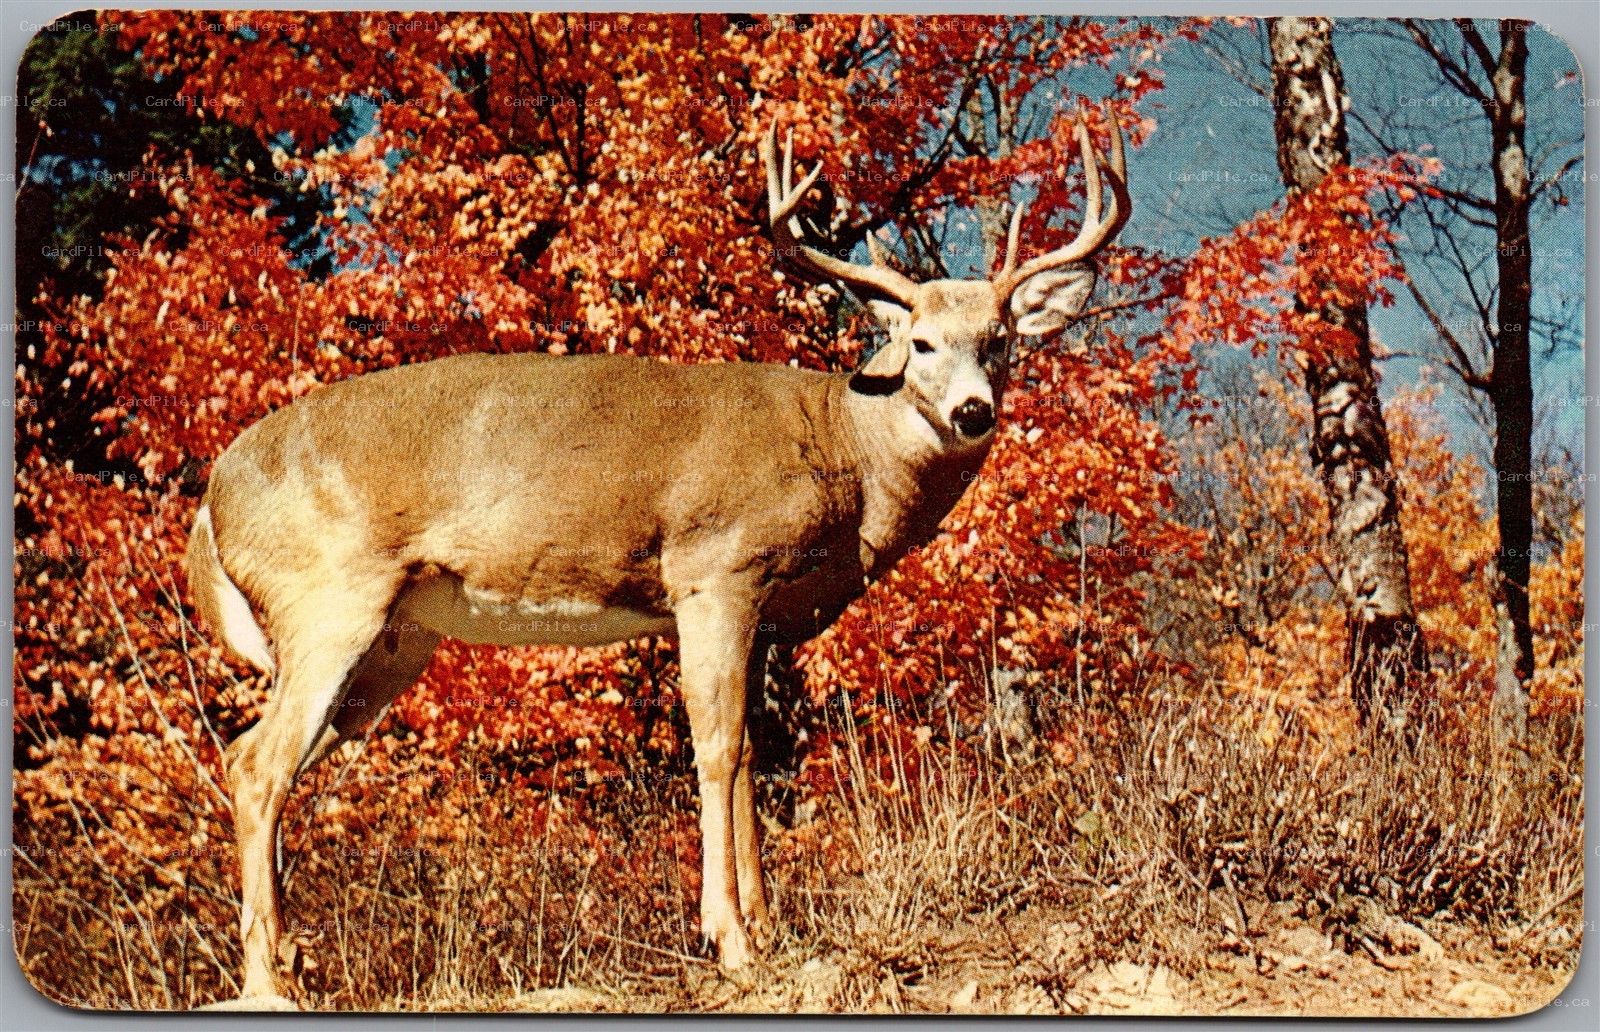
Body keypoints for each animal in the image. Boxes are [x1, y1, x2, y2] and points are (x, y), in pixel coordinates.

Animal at [186, 107, 1129, 1008]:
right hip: (328, 595)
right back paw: (266, 980)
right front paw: (730, 940)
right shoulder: (714, 570)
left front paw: (768, 929)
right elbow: (714, 746)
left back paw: (291, 962)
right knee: (256, 764)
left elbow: (748, 756)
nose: (973, 411)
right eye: (921, 343)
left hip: (396, 641)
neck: (843, 449)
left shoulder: (762, 613)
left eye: (1000, 338)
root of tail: (211, 496)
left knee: (260, 758)